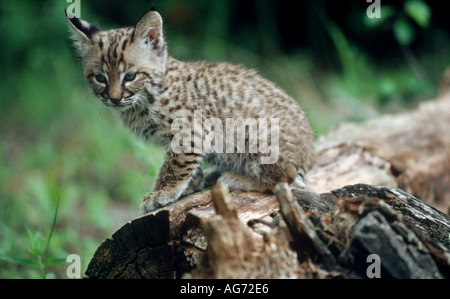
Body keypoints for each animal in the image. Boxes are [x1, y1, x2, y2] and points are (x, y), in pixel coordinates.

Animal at [67, 7, 312, 213]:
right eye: (100, 78)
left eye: (130, 76)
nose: (114, 98)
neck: (144, 97)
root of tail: (307, 154)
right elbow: (186, 165)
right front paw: (191, 185)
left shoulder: (191, 129)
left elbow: (175, 165)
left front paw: (161, 193)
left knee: (285, 180)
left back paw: (236, 178)